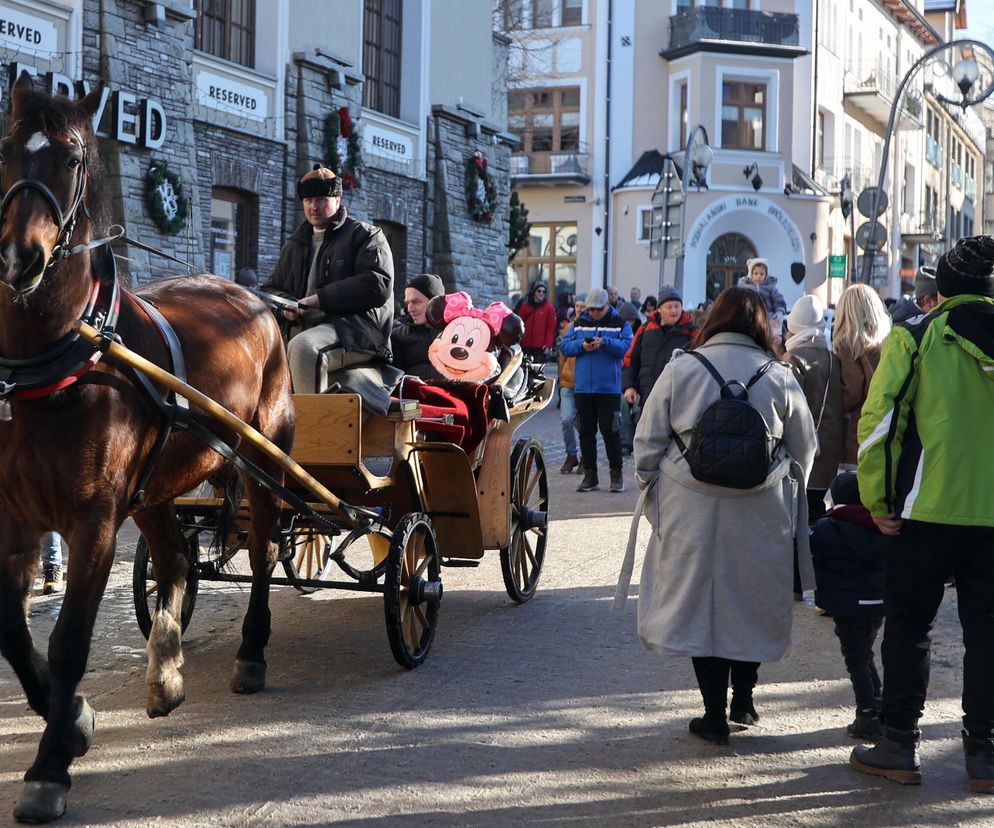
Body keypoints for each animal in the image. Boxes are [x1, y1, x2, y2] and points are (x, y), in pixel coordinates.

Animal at [0, 77, 294, 820]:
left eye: (73, 157)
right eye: (7, 147)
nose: (17, 258)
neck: (63, 358)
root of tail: (258, 298)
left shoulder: (93, 521)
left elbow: (68, 641)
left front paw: (50, 764)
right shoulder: (14, 515)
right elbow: (13, 630)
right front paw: (73, 721)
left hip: (265, 461)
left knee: (264, 553)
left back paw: (251, 652)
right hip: (157, 488)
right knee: (174, 559)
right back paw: (166, 666)